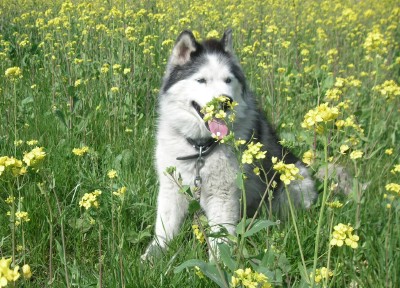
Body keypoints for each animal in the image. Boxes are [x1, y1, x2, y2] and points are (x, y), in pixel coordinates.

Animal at [142, 29, 318, 260]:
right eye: (201, 80)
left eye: (228, 80)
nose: (225, 101)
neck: (201, 148)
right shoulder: (171, 188)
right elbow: (164, 229)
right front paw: (151, 257)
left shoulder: (223, 195)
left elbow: (220, 238)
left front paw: (219, 265)